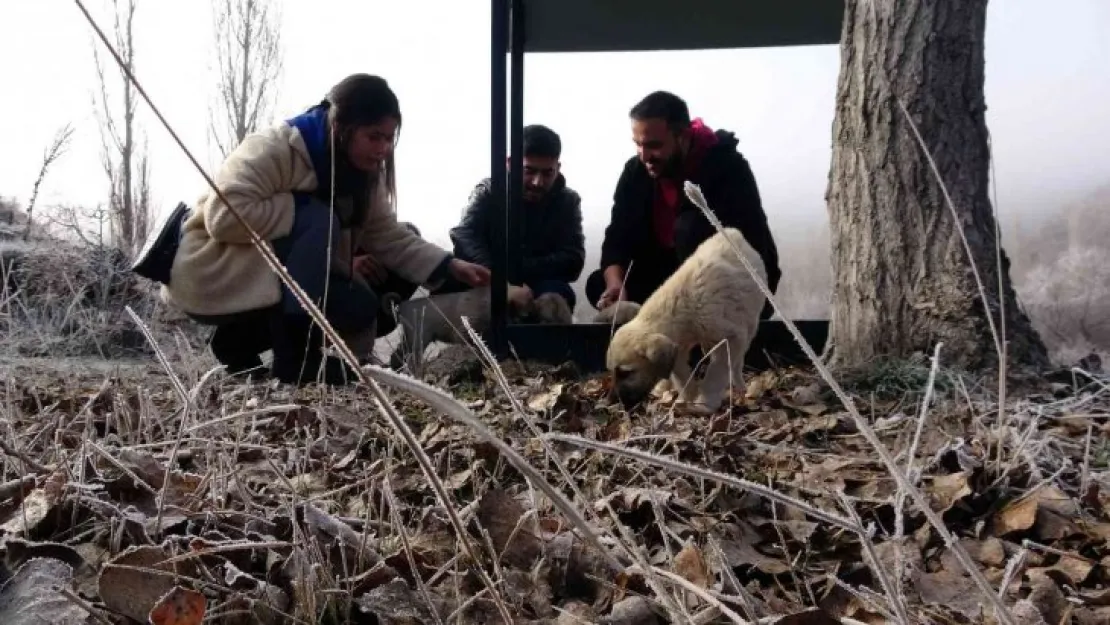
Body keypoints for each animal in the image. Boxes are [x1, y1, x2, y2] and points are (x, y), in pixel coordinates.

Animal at [386, 284, 532, 377]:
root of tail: (402, 307)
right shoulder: (463, 332)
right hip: (419, 339)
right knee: (411, 359)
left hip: (409, 339)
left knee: (397, 355)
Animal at [603, 227, 768, 412]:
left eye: (626, 373)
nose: (610, 403)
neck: (681, 306)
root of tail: (732, 232)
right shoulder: (678, 348)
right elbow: (680, 375)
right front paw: (687, 397)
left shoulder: (732, 337)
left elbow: (717, 371)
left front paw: (705, 402)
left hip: (750, 322)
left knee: (737, 361)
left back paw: (739, 386)